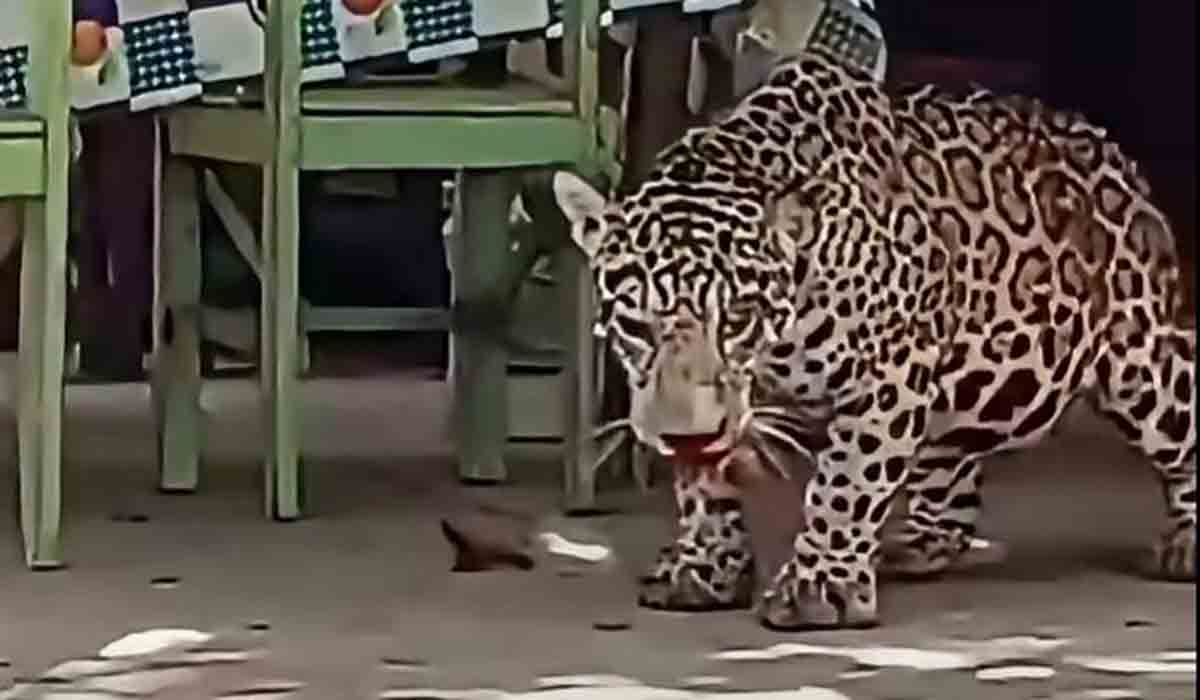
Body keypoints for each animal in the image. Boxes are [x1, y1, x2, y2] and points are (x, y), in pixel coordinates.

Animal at [550, 49, 1196, 630]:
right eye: (636, 326)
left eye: (737, 319)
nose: (688, 436)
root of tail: (1106, 147)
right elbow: (702, 484)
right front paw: (705, 568)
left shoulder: (889, 374)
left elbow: (847, 479)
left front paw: (819, 589)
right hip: (971, 390)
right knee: (955, 458)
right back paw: (922, 540)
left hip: (1146, 365)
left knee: (1182, 431)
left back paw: (1186, 543)